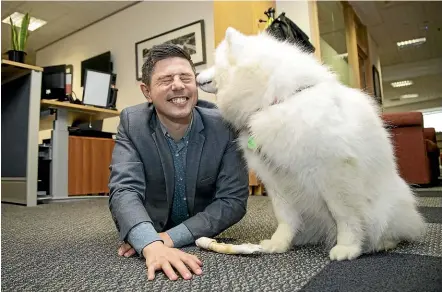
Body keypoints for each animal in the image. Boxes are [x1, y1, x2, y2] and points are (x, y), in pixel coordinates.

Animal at [197, 26, 424, 260]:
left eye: (215, 62)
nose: (196, 75)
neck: (276, 100)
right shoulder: (275, 179)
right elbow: (285, 216)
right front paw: (279, 243)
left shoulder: (334, 173)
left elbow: (345, 216)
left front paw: (348, 247)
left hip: (385, 208)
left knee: (395, 229)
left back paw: (383, 243)